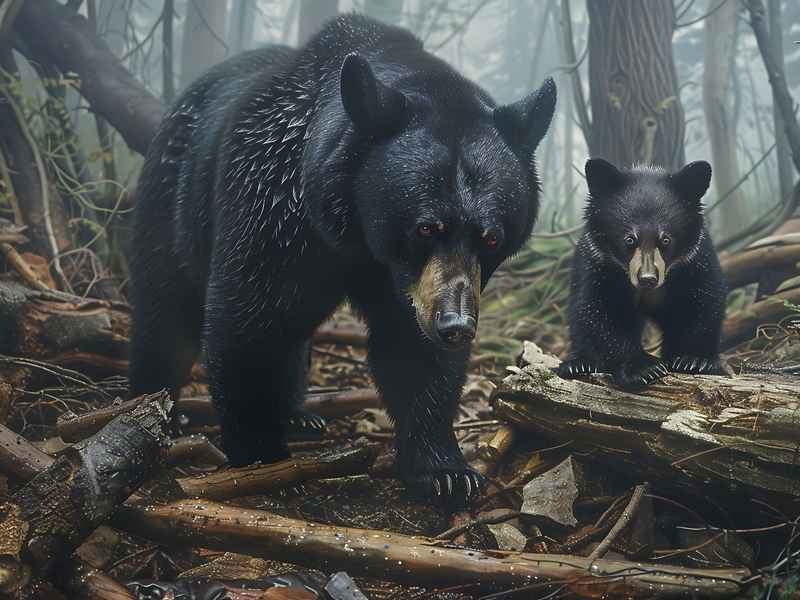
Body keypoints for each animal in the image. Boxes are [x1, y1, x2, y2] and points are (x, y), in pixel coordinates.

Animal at [128, 14, 556, 508]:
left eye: (490, 237)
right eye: (426, 228)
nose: (456, 325)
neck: (356, 236)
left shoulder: (409, 285)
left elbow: (413, 352)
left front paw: (446, 472)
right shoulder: (272, 206)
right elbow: (247, 322)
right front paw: (261, 457)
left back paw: (299, 414)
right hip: (170, 202)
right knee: (165, 310)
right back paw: (155, 406)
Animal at [557, 159, 727, 388]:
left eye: (666, 240)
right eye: (630, 239)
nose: (647, 279)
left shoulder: (695, 261)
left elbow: (701, 303)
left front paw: (694, 361)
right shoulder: (598, 265)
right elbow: (601, 312)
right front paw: (645, 369)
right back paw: (579, 364)